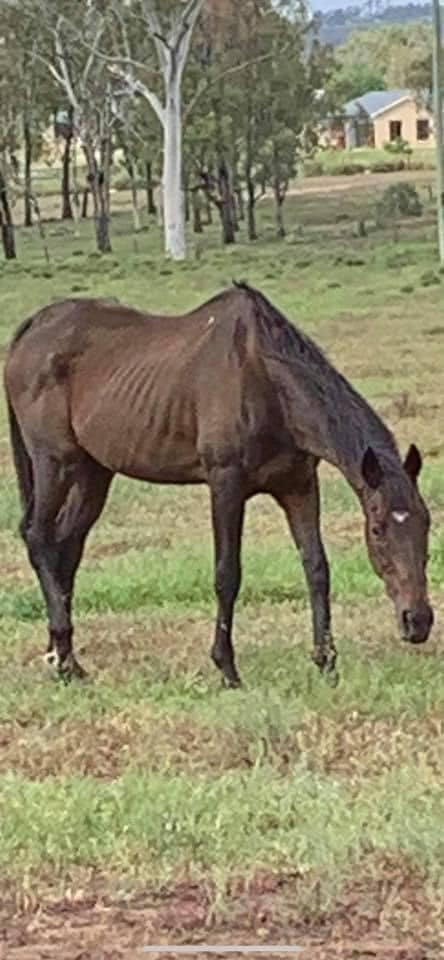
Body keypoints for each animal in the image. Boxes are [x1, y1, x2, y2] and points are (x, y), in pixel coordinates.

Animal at [3, 282, 434, 688]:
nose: (418, 621)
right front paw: (227, 669)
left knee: (67, 546)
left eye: (427, 523)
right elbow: (227, 574)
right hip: (56, 462)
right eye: (378, 529)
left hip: (94, 471)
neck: (265, 378)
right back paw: (65, 659)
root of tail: (32, 328)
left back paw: (61, 655)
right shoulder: (226, 485)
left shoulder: (298, 486)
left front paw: (326, 663)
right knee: (39, 537)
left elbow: (316, 568)